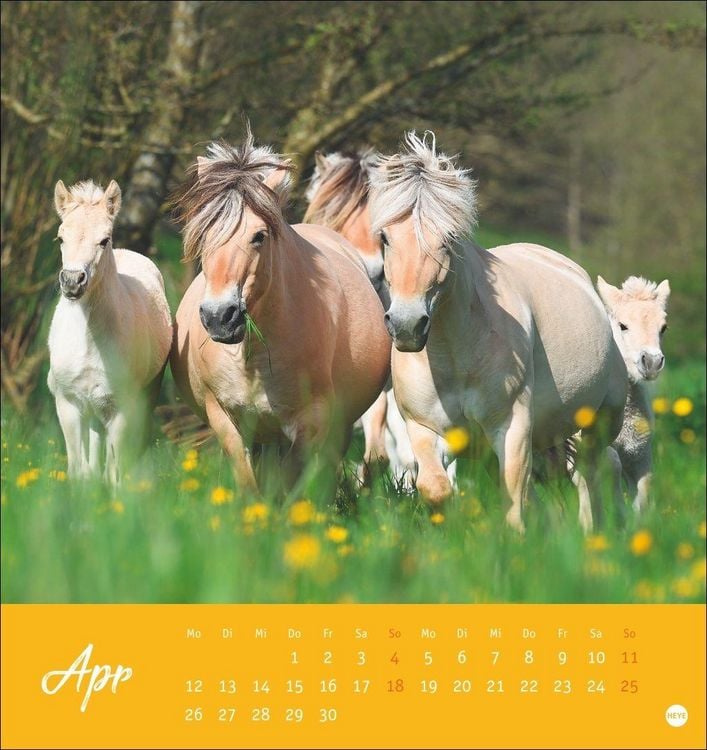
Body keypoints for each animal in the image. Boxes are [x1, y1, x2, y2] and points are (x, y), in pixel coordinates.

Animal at [48, 179, 172, 484]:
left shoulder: (122, 407)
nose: (72, 281)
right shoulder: (67, 403)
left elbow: (115, 471)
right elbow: (78, 469)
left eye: (104, 240)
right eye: (61, 238)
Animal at [170, 135, 390, 495]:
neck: (254, 356)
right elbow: (249, 484)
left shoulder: (312, 423)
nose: (220, 316)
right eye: (202, 235)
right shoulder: (226, 420)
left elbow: (293, 481)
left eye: (259, 236)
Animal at [369, 132, 627, 532]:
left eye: (448, 238)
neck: (455, 354)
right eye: (385, 237)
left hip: (599, 421)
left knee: (592, 470)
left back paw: (592, 532)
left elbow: (514, 501)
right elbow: (435, 488)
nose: (407, 326)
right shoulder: (424, 428)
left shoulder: (511, 426)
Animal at [596, 275, 670, 513]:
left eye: (663, 327)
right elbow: (612, 469)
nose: (652, 362)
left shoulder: (640, 454)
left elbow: (644, 493)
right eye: (623, 326)